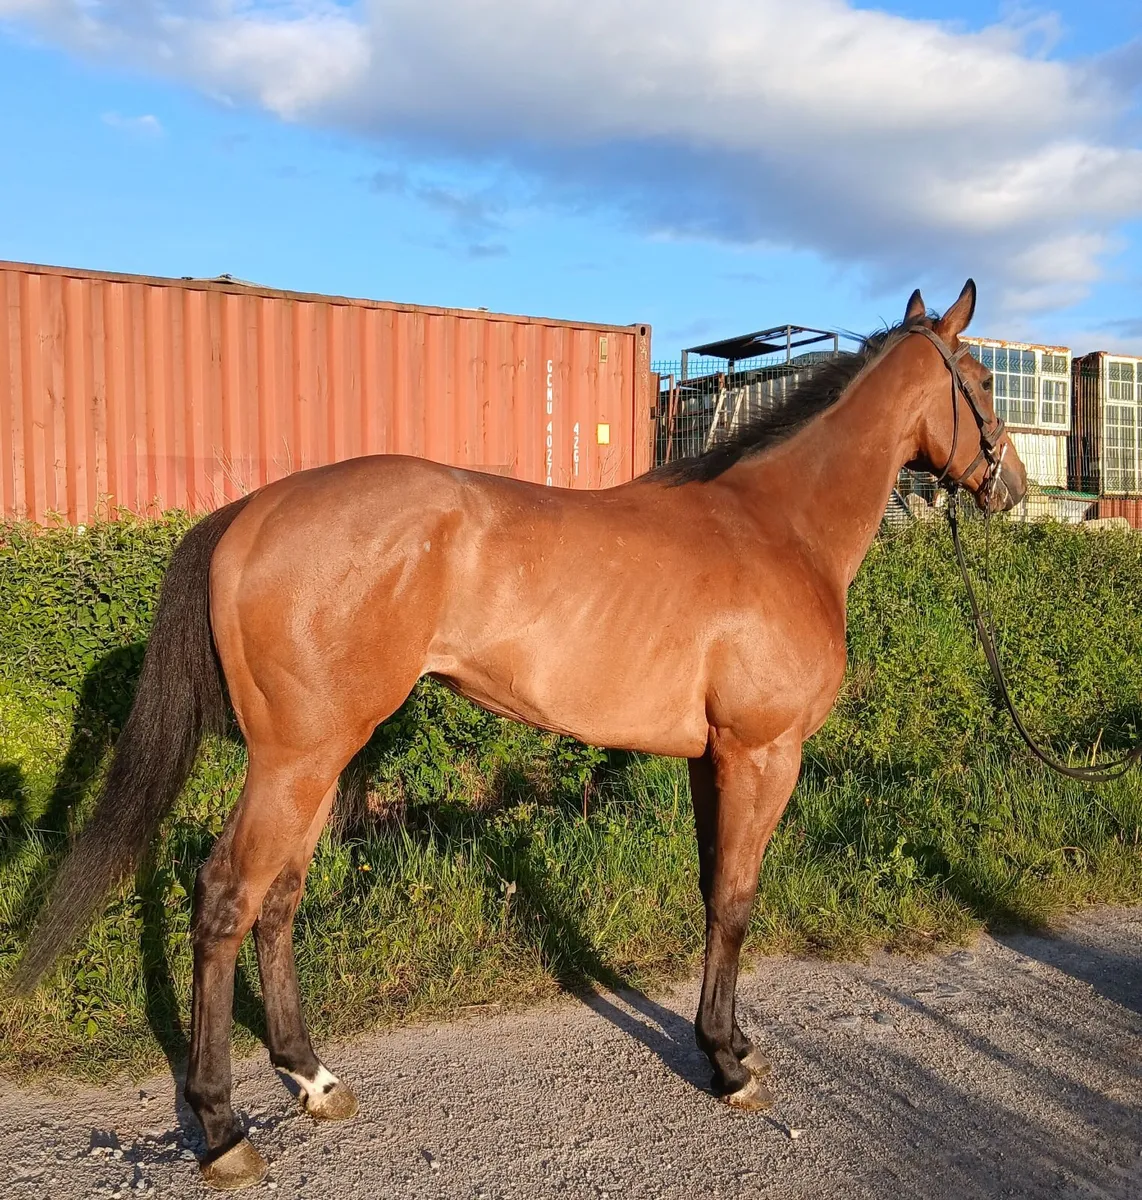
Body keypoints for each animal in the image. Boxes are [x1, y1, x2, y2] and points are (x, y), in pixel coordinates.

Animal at [11, 281, 1027, 1190]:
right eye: (982, 376)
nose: (1012, 486)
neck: (778, 528)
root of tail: (251, 512)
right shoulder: (762, 753)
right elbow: (738, 899)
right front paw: (730, 1068)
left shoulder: (713, 760)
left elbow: (713, 893)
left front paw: (724, 1040)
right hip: (295, 760)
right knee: (226, 898)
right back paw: (222, 1129)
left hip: (317, 760)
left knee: (279, 899)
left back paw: (313, 1078)